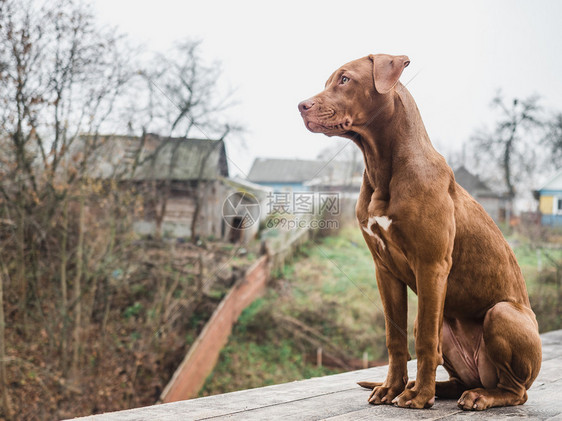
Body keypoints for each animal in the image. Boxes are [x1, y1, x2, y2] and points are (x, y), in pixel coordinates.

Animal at [298, 54, 540, 408]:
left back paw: (475, 396)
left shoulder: (431, 265)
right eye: (329, 81)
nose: (301, 105)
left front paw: (419, 397)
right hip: (450, 326)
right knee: (454, 372)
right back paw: (432, 388)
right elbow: (395, 337)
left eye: (345, 79)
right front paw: (392, 388)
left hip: (502, 313)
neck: (382, 167)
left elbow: (426, 338)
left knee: (515, 390)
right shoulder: (384, 270)